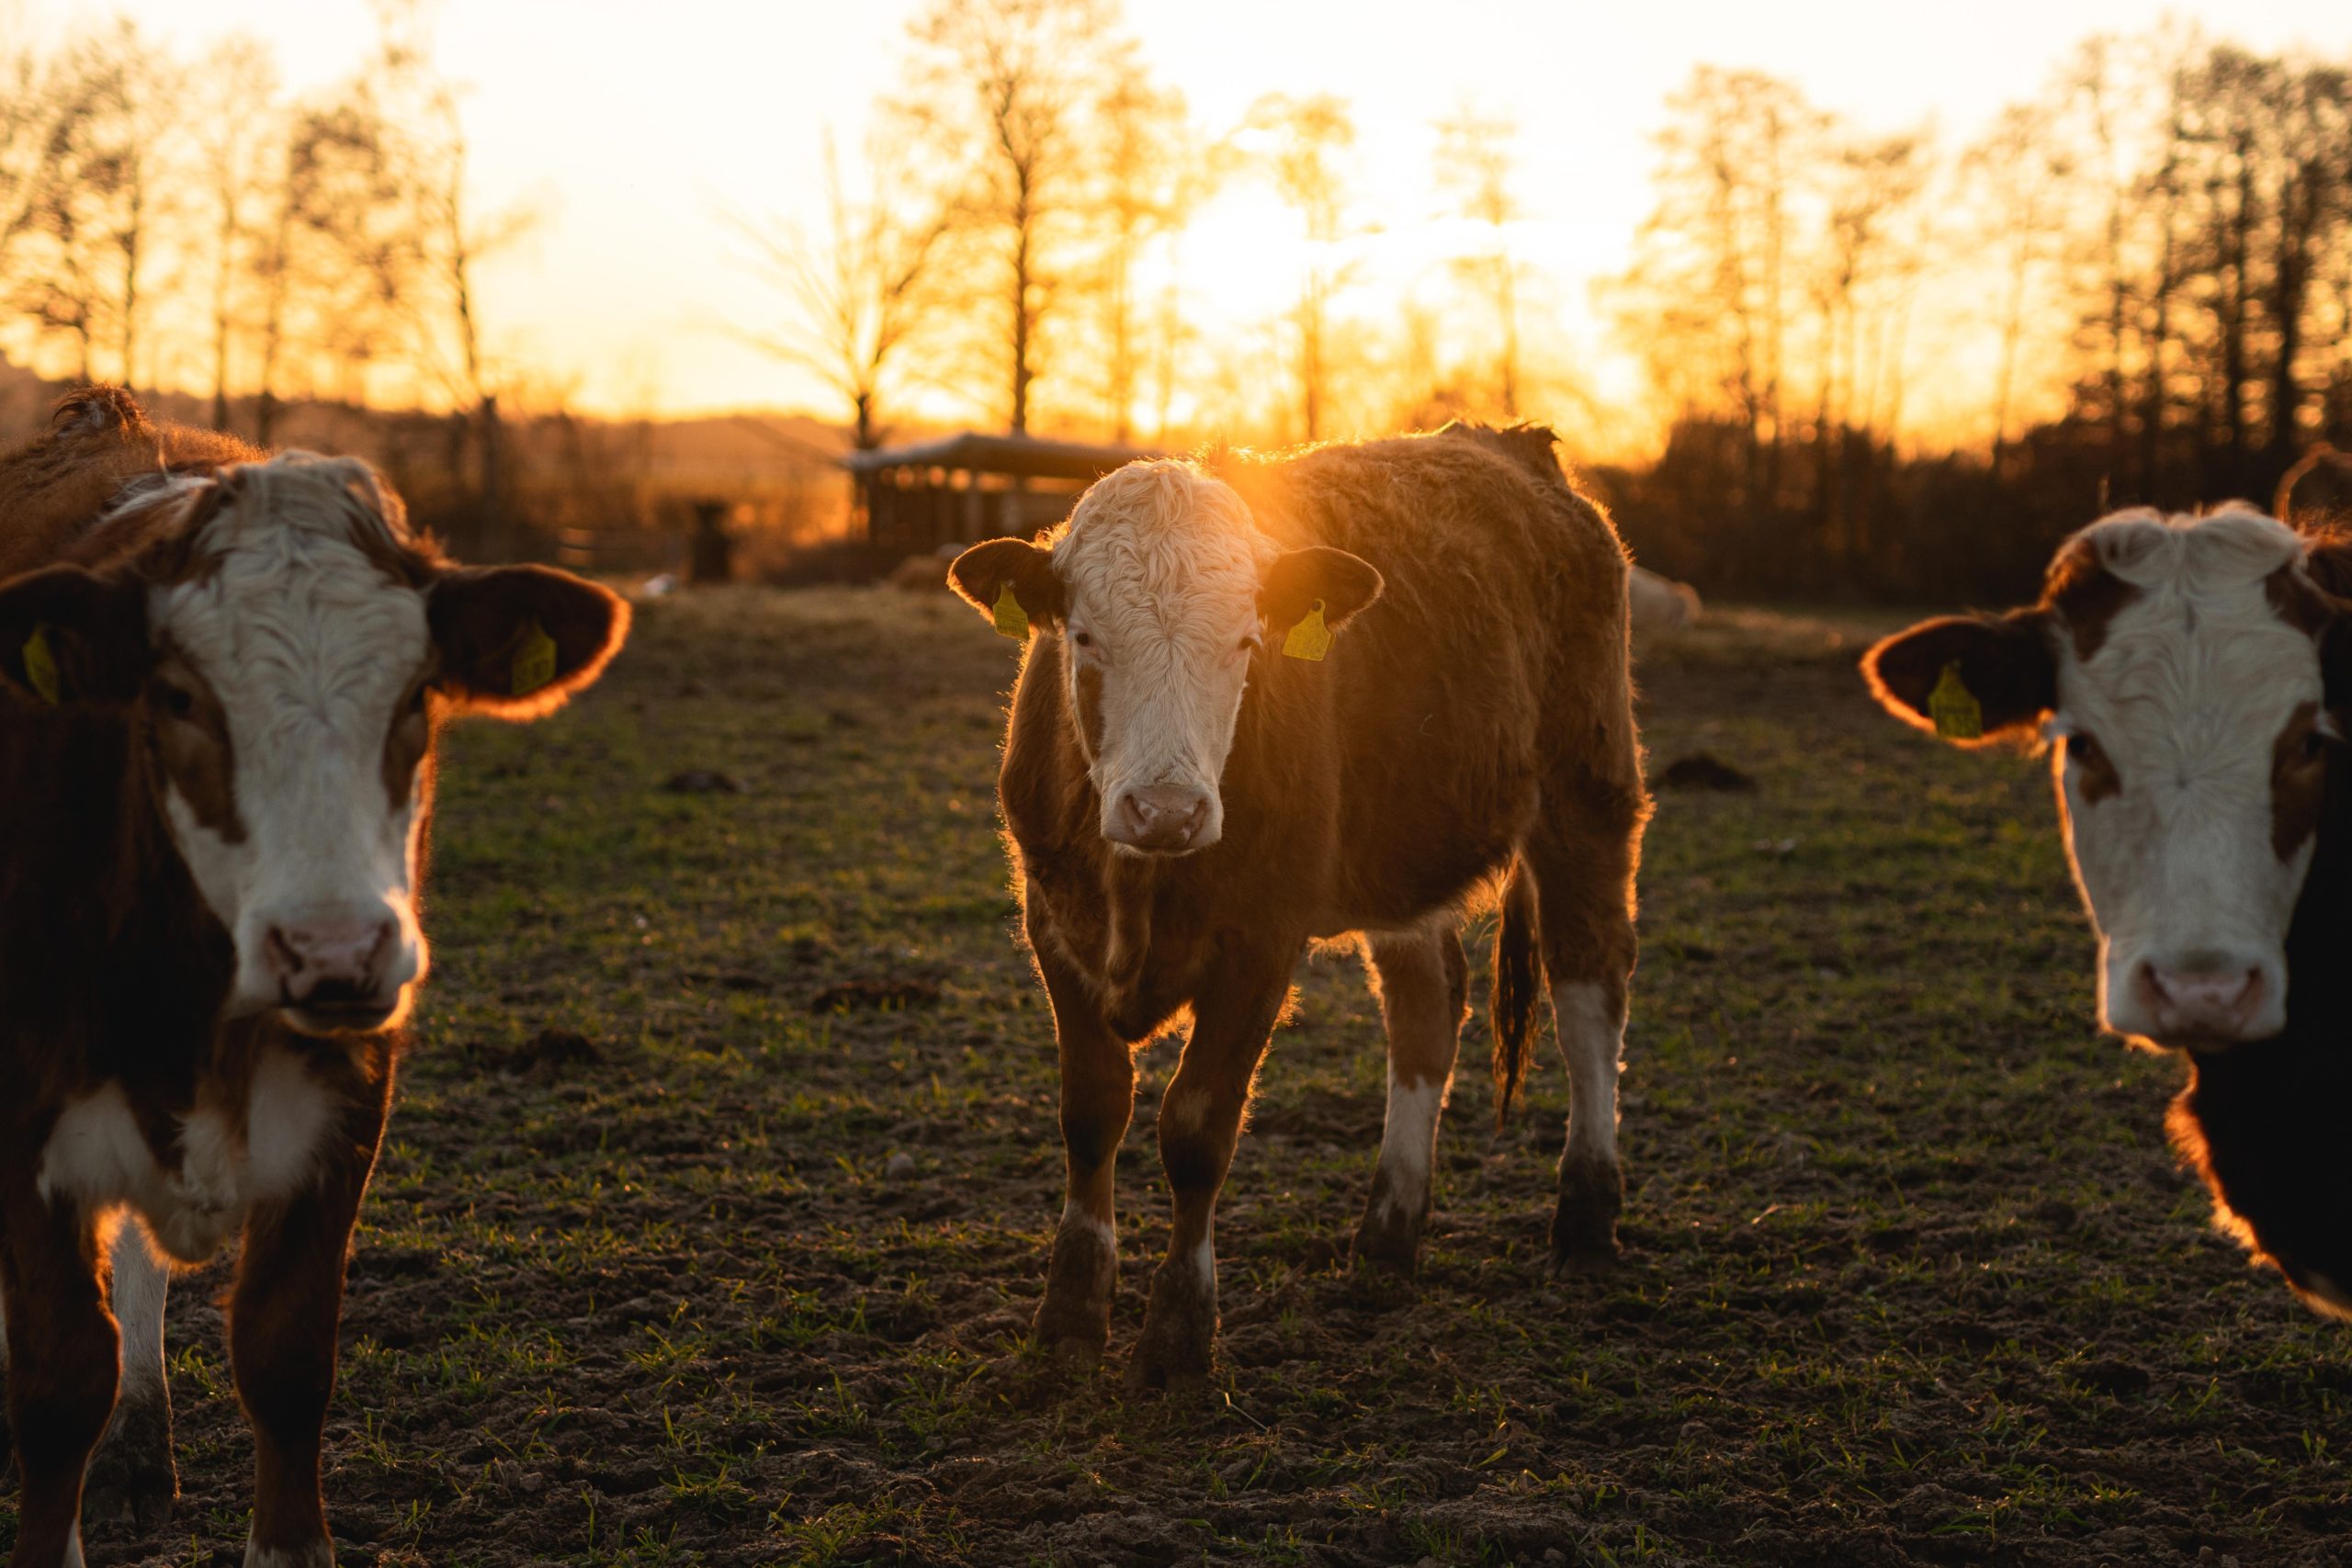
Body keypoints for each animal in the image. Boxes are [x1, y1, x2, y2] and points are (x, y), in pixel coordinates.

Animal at [0, 383, 630, 1568]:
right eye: (178, 696)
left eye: (419, 694)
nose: (334, 950)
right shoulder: (25, 1128)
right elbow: (58, 1380)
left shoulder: (346, 1111)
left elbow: (284, 1360)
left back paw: (143, 1451)